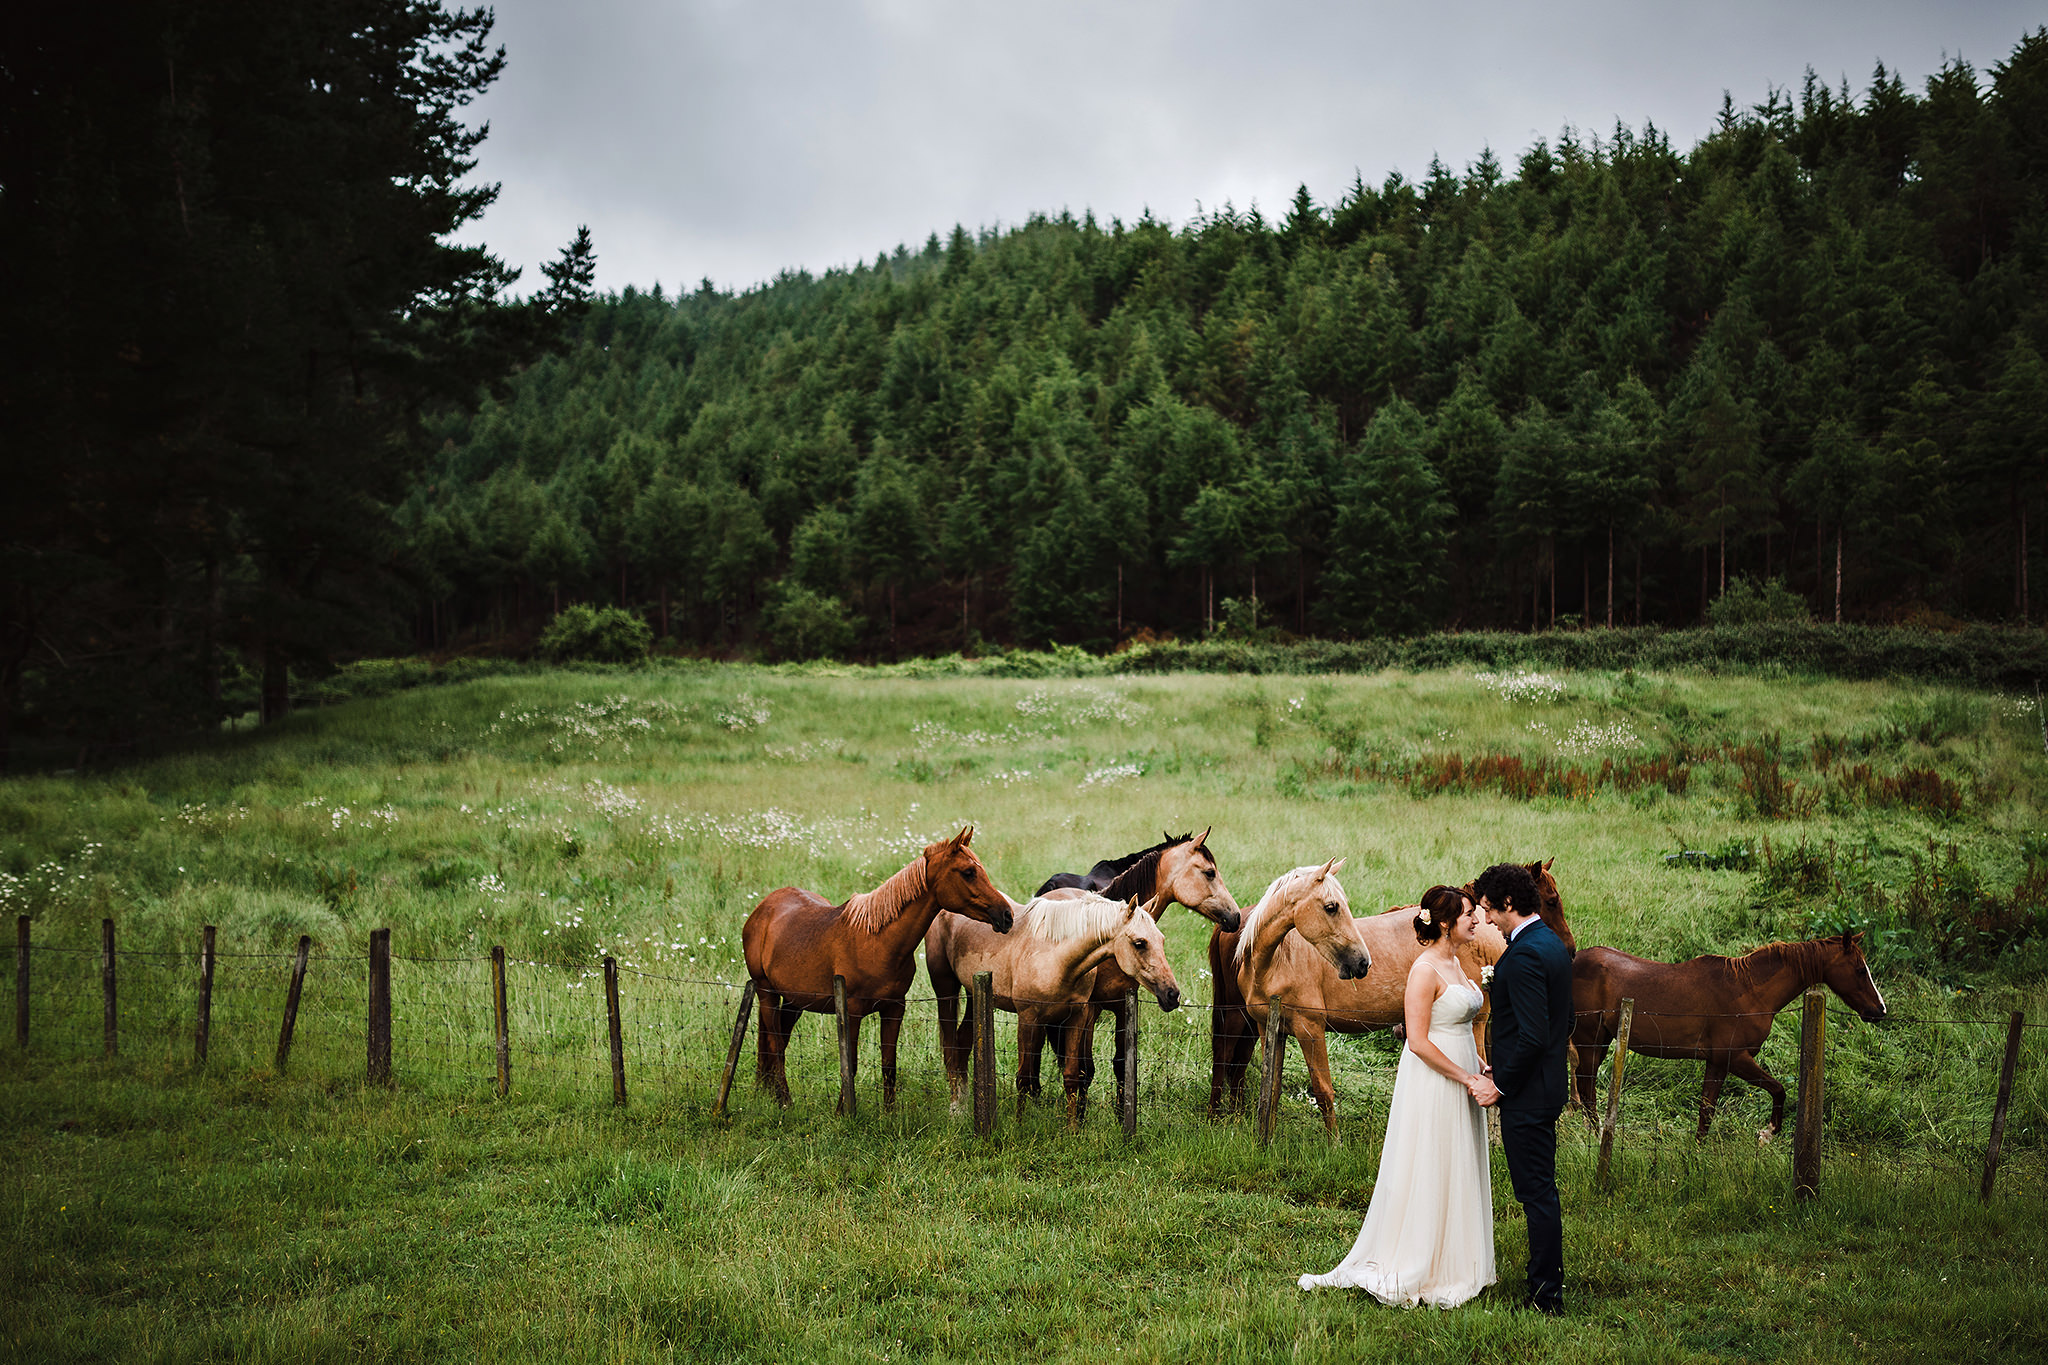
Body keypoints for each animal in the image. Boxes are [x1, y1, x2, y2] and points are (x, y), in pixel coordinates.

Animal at [745, 822, 1015, 1113]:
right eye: (968, 872)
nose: (1007, 916)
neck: (878, 941)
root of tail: (763, 909)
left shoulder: (894, 1009)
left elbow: (889, 1065)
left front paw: (889, 1114)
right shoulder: (851, 1011)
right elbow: (849, 1064)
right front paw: (843, 1113)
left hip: (794, 1000)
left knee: (779, 1040)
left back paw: (772, 1092)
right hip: (766, 992)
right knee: (775, 1043)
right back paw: (784, 1100)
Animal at [929, 892, 1187, 1129]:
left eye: (1161, 940)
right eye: (1140, 943)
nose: (1172, 995)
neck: (1055, 956)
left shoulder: (1078, 1017)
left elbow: (1072, 1076)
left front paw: (1072, 1131)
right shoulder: (1028, 1018)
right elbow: (1024, 1077)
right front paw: (1019, 1126)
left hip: (974, 994)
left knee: (962, 1044)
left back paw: (964, 1104)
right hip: (946, 991)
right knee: (951, 1047)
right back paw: (956, 1109)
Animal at [1032, 826, 1236, 1113]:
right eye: (1210, 872)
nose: (1236, 916)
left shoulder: (1124, 1005)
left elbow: (1121, 1066)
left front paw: (1121, 1115)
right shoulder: (1089, 1011)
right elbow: (1085, 1070)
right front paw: (1080, 1116)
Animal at [1196, 859, 1564, 1129]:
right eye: (1332, 906)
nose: (1362, 962)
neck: (1274, 959)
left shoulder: (1310, 1030)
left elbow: (1323, 1091)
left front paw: (1334, 1147)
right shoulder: (1271, 1028)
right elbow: (1270, 1090)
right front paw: (1266, 1139)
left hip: (1477, 1024)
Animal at [1564, 929, 1884, 1146]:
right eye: (1859, 970)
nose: (1879, 1010)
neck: (1749, 990)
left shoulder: (1717, 1063)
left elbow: (1706, 1111)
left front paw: (1697, 1153)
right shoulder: (1736, 1059)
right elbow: (1778, 1089)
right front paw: (1767, 1133)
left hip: (1601, 1043)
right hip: (1590, 1041)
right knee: (1587, 1090)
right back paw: (1596, 1135)